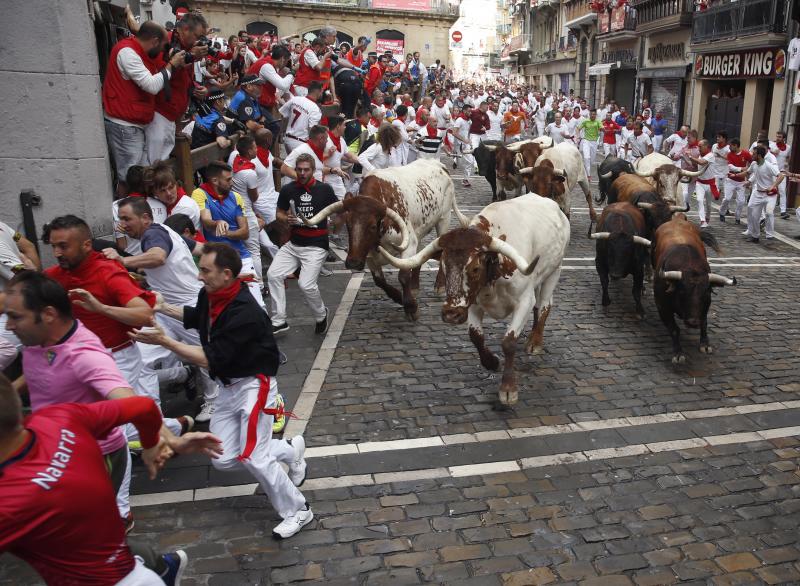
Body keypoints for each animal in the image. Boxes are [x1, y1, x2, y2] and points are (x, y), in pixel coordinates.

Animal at [300, 159, 468, 320]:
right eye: (348, 224)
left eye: (373, 226)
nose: (353, 263)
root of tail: (438, 164)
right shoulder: (368, 254)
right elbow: (379, 281)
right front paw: (400, 298)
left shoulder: (408, 244)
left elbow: (403, 276)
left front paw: (411, 307)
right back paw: (415, 287)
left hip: (444, 219)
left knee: (442, 249)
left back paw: (439, 285)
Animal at [376, 194, 568, 404]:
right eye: (443, 266)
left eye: (475, 268)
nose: (451, 314)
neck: (497, 269)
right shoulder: (473, 304)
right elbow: (475, 337)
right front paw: (492, 362)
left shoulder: (524, 301)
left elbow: (509, 342)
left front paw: (508, 389)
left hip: (554, 271)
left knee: (544, 306)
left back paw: (535, 341)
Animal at [652, 212, 736, 362]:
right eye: (681, 292)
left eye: (706, 293)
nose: (692, 322)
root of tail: (677, 219)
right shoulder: (661, 305)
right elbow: (674, 329)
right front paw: (678, 353)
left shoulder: (706, 304)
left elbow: (704, 322)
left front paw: (705, 344)